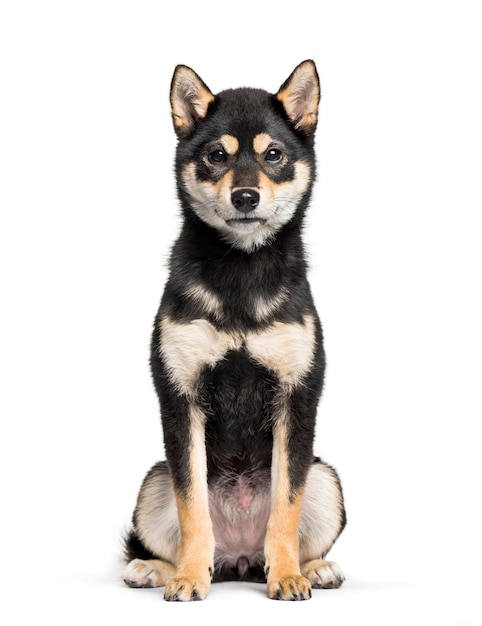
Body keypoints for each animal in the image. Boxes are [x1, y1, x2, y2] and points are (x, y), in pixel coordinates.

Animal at [122, 59, 344, 600]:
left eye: (274, 154)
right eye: (216, 155)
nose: (246, 196)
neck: (241, 271)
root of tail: (240, 556)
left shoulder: (296, 397)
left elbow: (286, 508)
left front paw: (287, 576)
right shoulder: (181, 397)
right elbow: (192, 508)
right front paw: (186, 578)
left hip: (326, 478)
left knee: (299, 530)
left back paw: (313, 568)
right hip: (152, 482)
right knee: (180, 535)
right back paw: (159, 569)